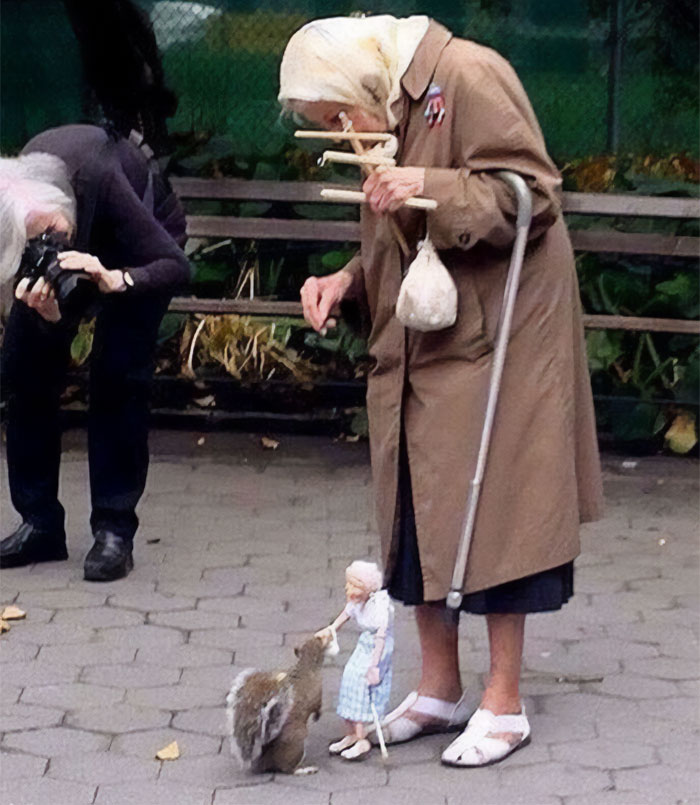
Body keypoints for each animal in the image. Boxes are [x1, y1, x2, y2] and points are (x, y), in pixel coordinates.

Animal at [224, 636, 334, 772]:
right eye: (318, 639)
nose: (320, 636)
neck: (306, 665)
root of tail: (266, 762)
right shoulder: (317, 689)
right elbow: (317, 705)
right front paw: (317, 715)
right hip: (298, 739)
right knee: (288, 768)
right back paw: (304, 769)